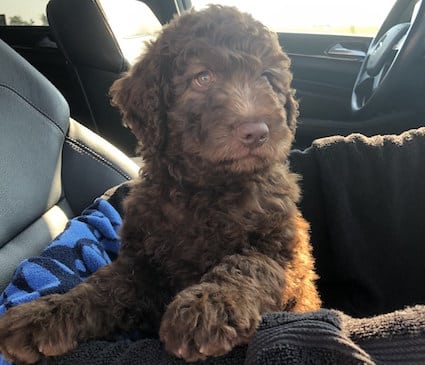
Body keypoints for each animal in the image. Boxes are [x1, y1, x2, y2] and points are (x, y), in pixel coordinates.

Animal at [0, 4, 320, 362]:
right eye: (203, 77)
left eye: (266, 77)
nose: (257, 132)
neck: (205, 188)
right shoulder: (142, 264)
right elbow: (101, 287)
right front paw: (45, 313)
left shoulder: (281, 248)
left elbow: (247, 263)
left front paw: (206, 307)